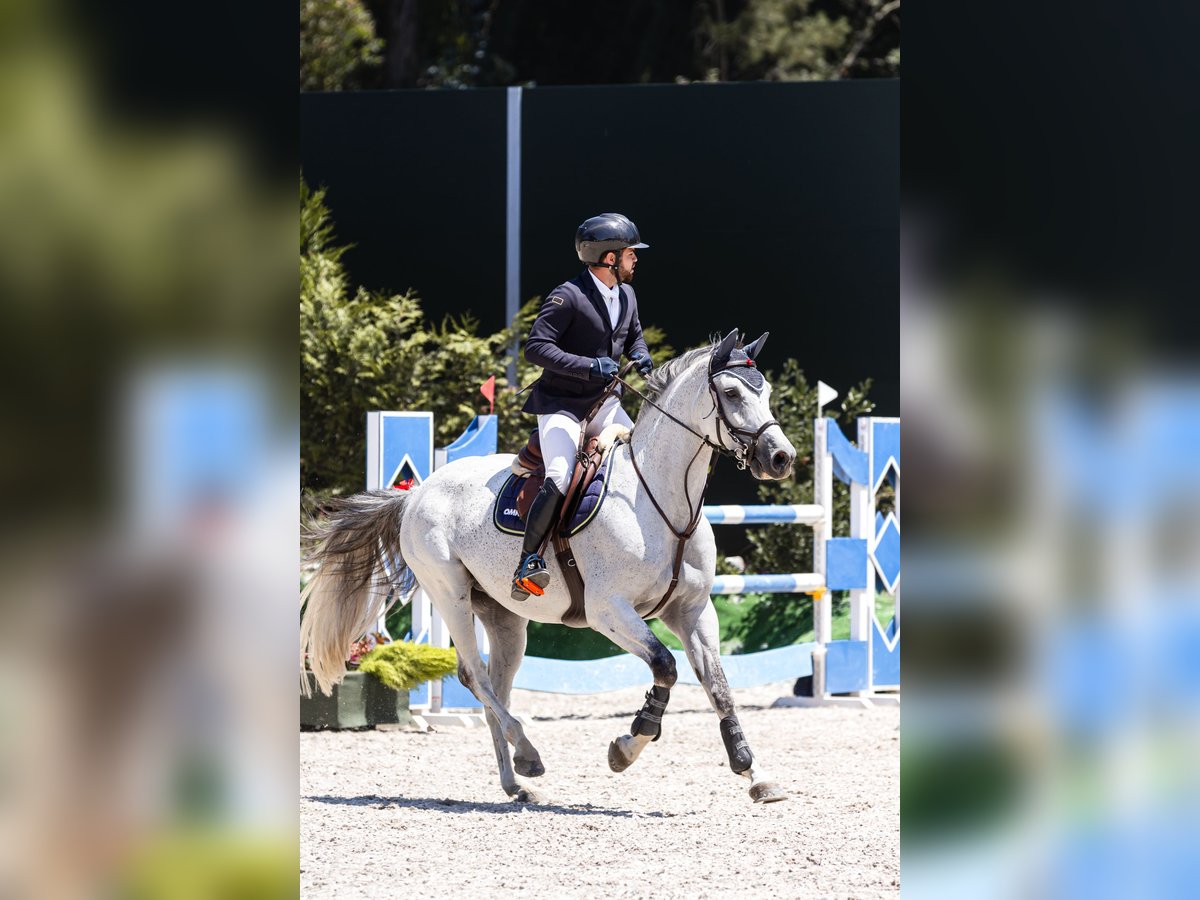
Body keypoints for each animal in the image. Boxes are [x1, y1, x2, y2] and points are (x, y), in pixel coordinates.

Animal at [302, 328, 796, 806]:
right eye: (731, 393)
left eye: (767, 392)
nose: (780, 458)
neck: (661, 500)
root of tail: (415, 493)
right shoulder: (608, 610)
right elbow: (665, 665)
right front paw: (627, 747)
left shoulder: (692, 610)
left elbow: (719, 685)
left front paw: (754, 774)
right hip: (449, 593)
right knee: (474, 675)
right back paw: (528, 754)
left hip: (503, 616)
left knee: (494, 686)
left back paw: (516, 785)